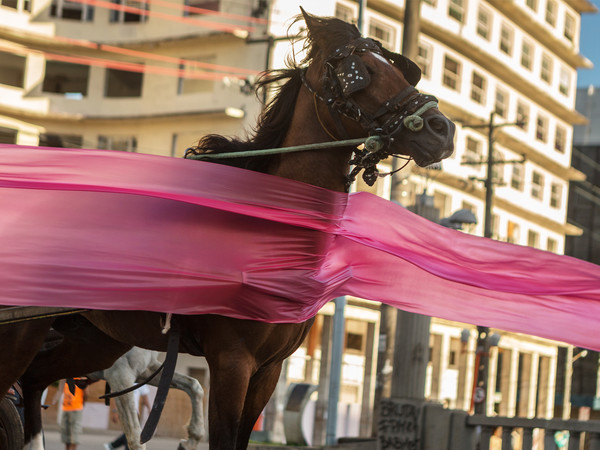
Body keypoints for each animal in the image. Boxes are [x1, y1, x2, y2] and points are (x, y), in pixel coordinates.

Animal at [0, 8, 454, 448]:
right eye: (361, 72)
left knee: (35, 381)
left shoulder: (269, 370)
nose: (442, 130)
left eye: (399, 67)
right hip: (26, 328)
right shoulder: (231, 362)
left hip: (91, 340)